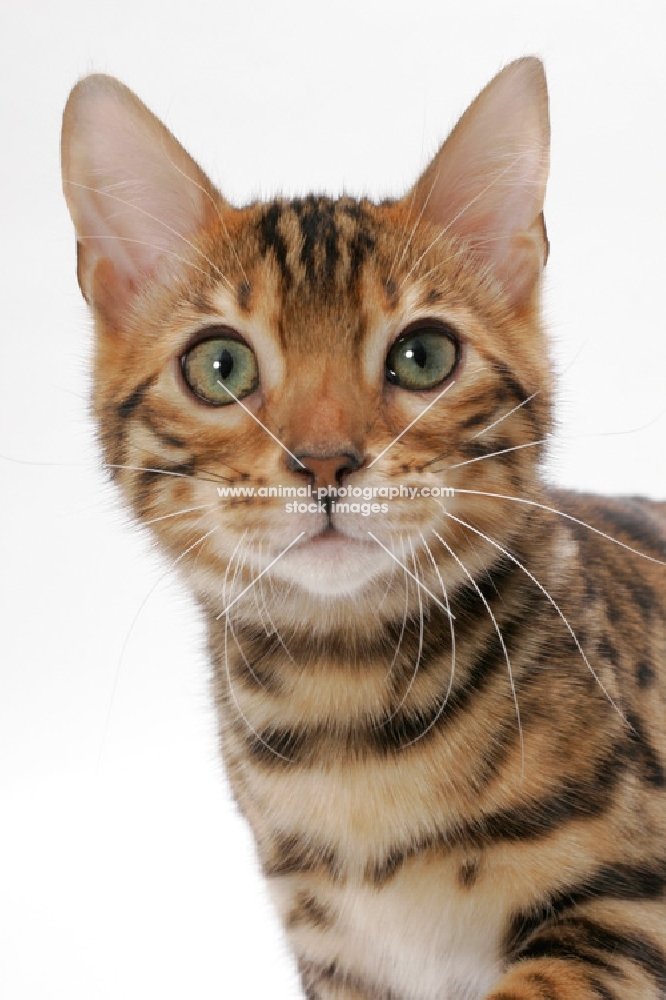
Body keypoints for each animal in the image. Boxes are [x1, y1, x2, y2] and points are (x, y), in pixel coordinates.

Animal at [62, 58, 664, 996]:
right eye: (220, 366)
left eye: (423, 356)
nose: (324, 463)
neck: (343, 704)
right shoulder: (337, 953)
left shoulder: (631, 910)